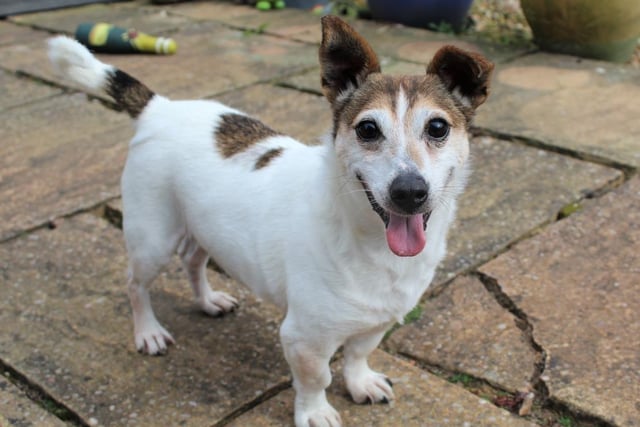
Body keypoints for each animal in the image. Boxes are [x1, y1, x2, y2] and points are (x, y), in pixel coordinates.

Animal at [47, 16, 496, 427]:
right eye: (368, 129)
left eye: (437, 127)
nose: (409, 191)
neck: (366, 241)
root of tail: (160, 108)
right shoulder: (303, 338)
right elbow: (317, 378)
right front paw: (315, 412)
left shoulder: (376, 323)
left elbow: (357, 354)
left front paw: (359, 382)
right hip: (151, 239)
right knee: (135, 285)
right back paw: (147, 331)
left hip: (204, 228)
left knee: (192, 261)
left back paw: (208, 300)